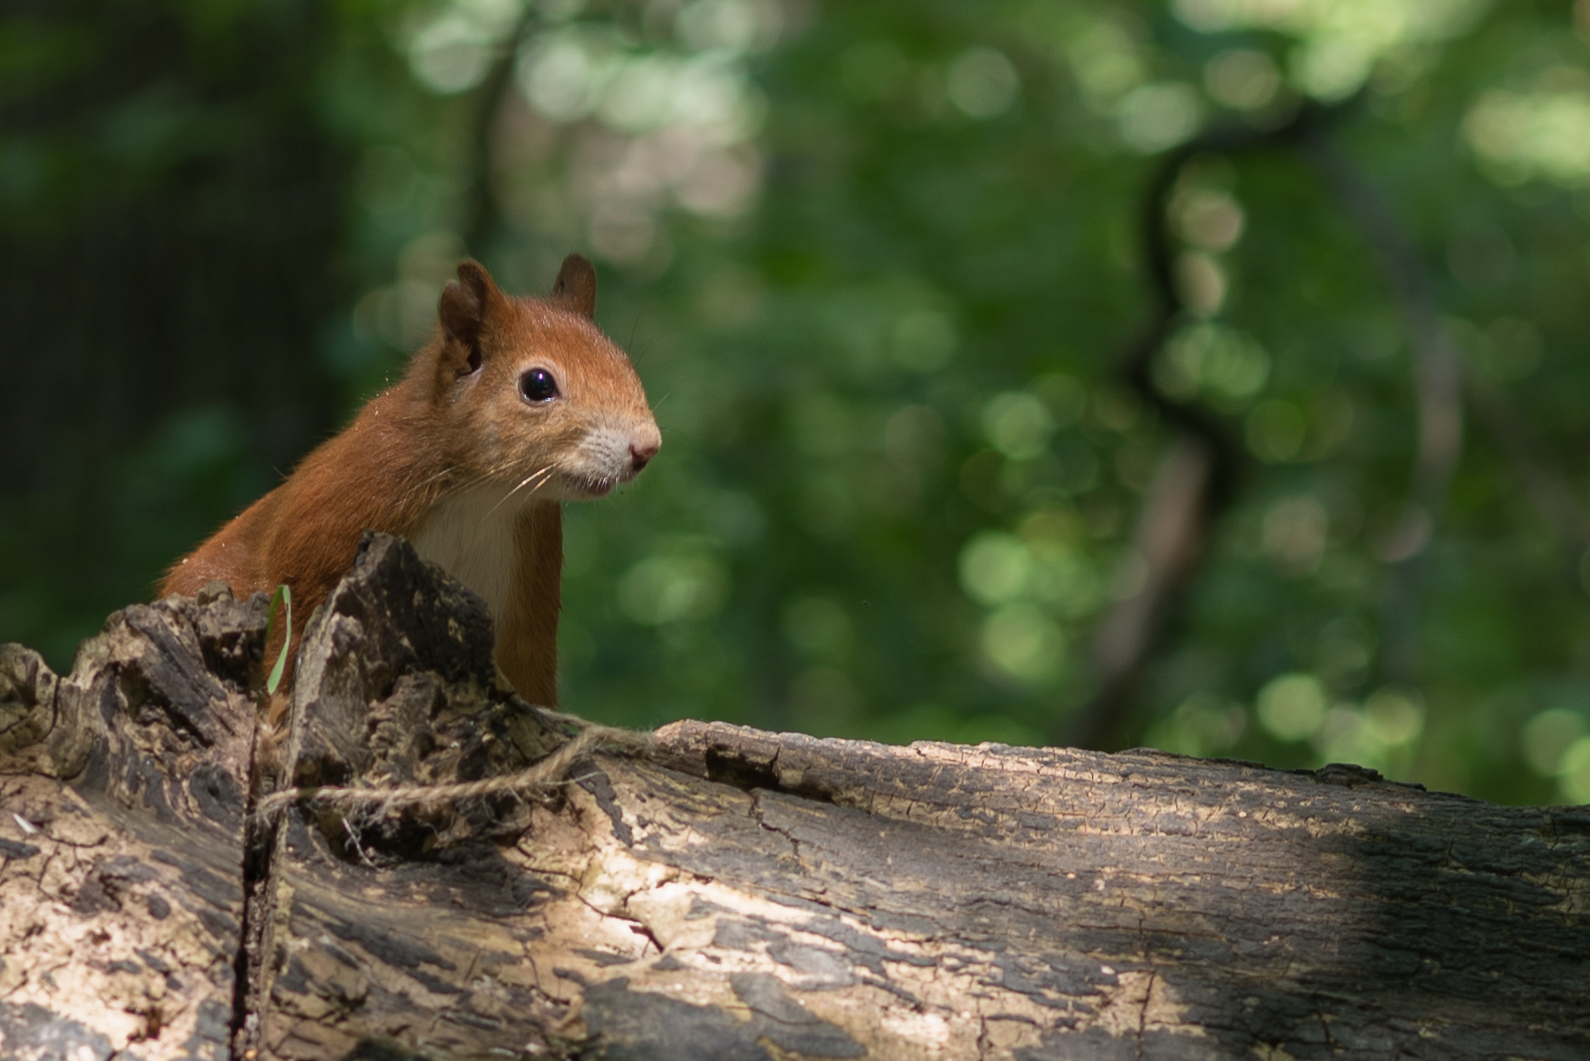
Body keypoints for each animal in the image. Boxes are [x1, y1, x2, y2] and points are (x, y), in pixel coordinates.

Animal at [161, 256, 658, 706]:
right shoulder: (333, 515)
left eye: (624, 361)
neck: (481, 497)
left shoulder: (528, 594)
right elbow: (289, 620)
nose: (648, 447)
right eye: (537, 384)